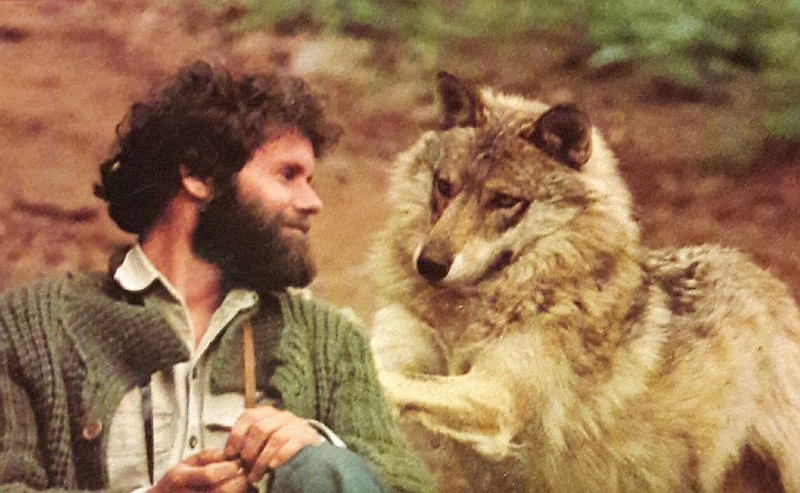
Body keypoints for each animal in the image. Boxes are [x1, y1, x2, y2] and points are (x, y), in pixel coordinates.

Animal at [369, 72, 800, 492]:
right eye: (444, 186)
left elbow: (407, 383)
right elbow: (387, 367)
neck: (471, 310)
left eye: (505, 200)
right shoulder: (401, 346)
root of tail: (771, 284)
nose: (429, 264)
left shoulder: (498, 396)